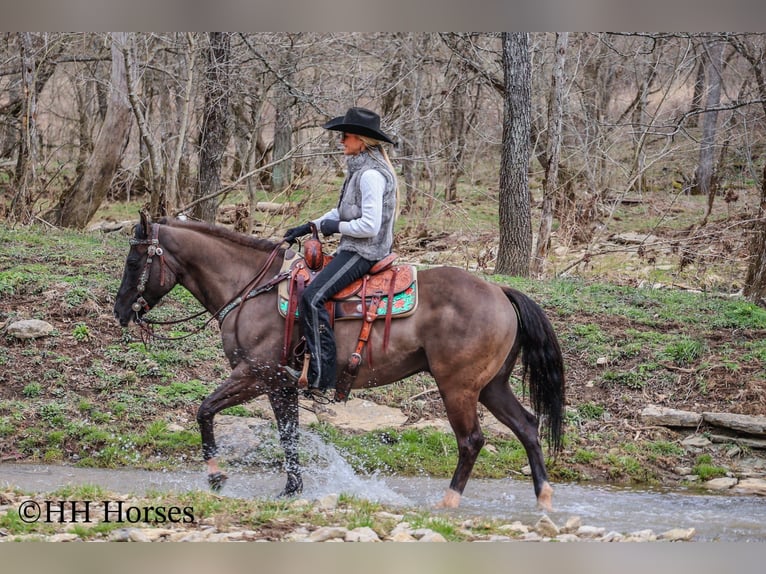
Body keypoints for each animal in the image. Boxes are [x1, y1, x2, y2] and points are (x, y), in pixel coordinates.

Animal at [115, 214, 568, 510]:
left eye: (134, 262)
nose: (120, 311)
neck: (250, 288)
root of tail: (499, 291)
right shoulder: (281, 383)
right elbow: (289, 436)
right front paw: (291, 490)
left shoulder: (256, 374)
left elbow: (205, 409)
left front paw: (215, 475)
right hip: (492, 386)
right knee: (528, 426)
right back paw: (543, 499)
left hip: (457, 387)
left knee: (471, 440)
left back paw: (449, 502)